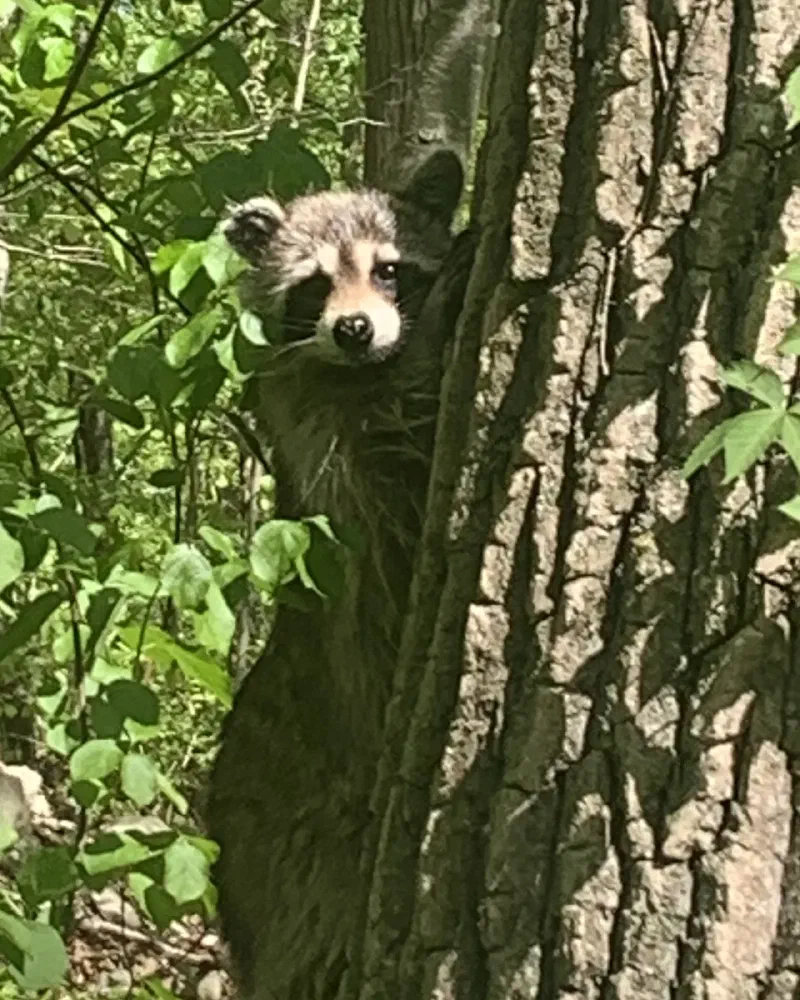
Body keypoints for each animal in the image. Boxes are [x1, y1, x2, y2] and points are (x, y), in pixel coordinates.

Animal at [207, 151, 467, 1000]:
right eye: (316, 285)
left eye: (388, 270)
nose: (355, 329)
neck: (364, 372)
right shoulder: (328, 448)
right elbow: (399, 482)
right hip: (293, 861)